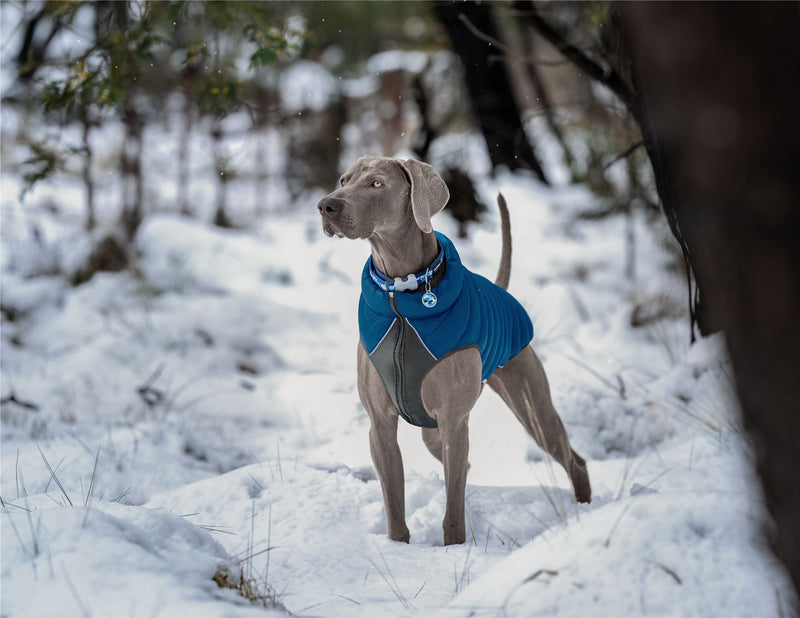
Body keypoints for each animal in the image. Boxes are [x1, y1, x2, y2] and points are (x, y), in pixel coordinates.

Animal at [318, 155, 588, 544]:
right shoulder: (380, 425)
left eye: (376, 184)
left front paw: (454, 547)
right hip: (434, 433)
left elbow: (453, 514)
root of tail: (501, 290)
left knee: (572, 460)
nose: (326, 205)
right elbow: (394, 504)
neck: (401, 296)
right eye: (344, 180)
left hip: (531, 406)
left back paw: (585, 512)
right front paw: (398, 546)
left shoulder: (454, 421)